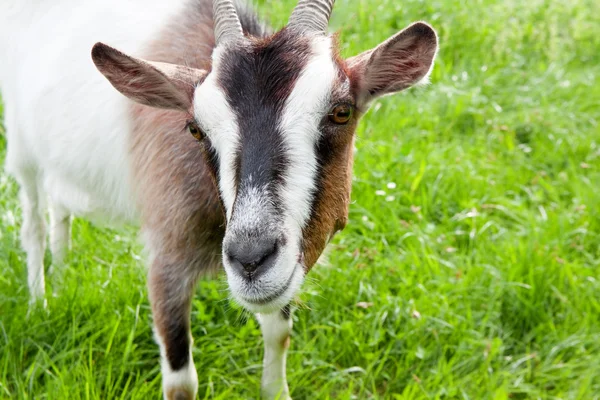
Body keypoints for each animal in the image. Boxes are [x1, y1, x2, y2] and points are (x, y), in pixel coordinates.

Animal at [1, 0, 440, 398]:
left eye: (341, 112)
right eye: (195, 129)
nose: (250, 259)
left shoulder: (286, 273)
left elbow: (279, 334)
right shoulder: (167, 260)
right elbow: (181, 382)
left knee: (60, 208)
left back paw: (62, 276)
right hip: (22, 150)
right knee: (33, 224)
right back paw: (41, 301)